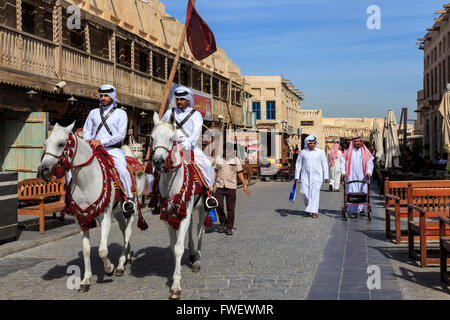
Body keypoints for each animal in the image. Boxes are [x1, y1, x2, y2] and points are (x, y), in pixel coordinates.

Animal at [37, 122, 146, 292]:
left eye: (61, 144)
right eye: (45, 143)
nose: (43, 170)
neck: (86, 181)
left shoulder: (105, 217)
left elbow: (102, 250)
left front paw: (109, 269)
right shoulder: (82, 219)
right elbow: (87, 250)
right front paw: (86, 280)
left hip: (132, 209)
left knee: (128, 232)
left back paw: (120, 266)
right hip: (118, 212)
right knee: (123, 231)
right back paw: (127, 257)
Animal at [151, 111, 207, 298]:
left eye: (172, 139)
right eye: (152, 138)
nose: (158, 162)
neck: (171, 182)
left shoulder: (185, 214)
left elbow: (178, 248)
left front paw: (176, 285)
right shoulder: (170, 216)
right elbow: (172, 246)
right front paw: (173, 276)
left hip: (203, 209)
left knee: (200, 230)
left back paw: (197, 260)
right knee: (191, 228)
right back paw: (192, 253)